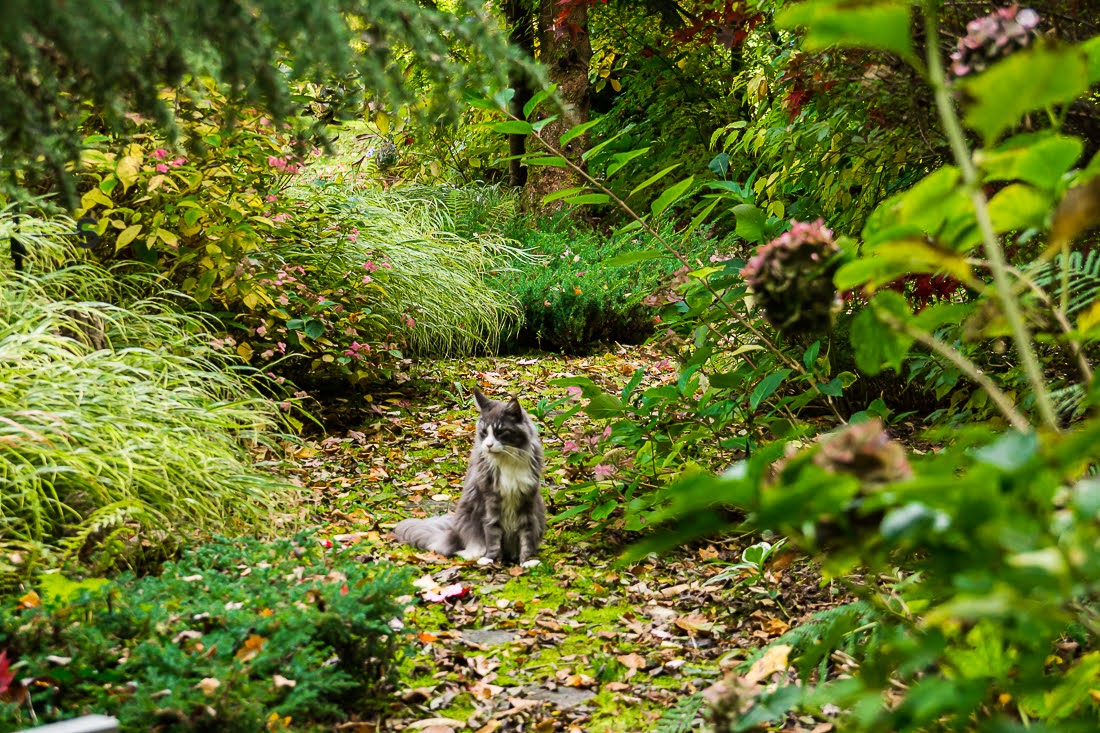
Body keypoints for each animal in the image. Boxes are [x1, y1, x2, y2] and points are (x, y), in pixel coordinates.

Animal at [396, 387, 550, 563]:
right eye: (483, 432)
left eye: (500, 432)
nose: (488, 445)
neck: (506, 460)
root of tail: (452, 533)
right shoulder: (490, 500)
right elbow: (492, 533)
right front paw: (491, 559)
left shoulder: (527, 499)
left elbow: (527, 534)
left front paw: (527, 561)